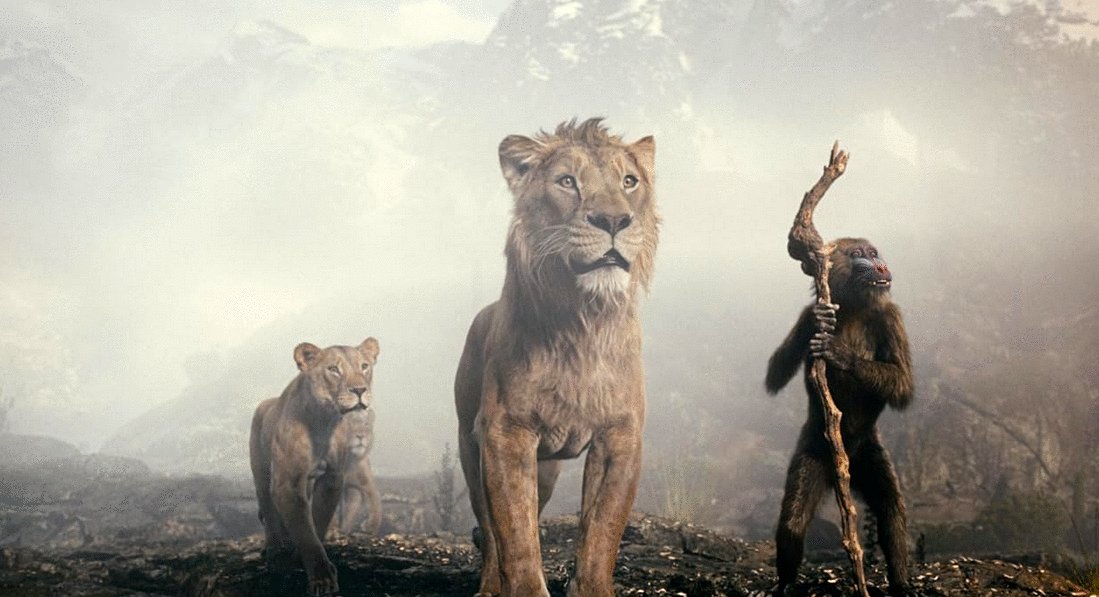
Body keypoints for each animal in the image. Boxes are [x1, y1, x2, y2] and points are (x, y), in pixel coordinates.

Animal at [249, 338, 380, 596]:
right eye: (334, 369)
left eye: (364, 366)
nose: (359, 390)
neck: (323, 422)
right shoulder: (287, 483)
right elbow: (304, 530)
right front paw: (322, 579)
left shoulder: (332, 478)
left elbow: (317, 521)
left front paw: (305, 558)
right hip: (261, 473)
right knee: (268, 510)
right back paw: (274, 551)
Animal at [455, 118, 658, 597]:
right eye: (567, 182)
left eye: (630, 181)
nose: (614, 220)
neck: (583, 322)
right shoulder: (505, 433)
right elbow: (516, 535)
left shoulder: (621, 435)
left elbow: (602, 531)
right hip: (471, 447)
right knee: (490, 531)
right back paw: (489, 585)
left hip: (546, 469)